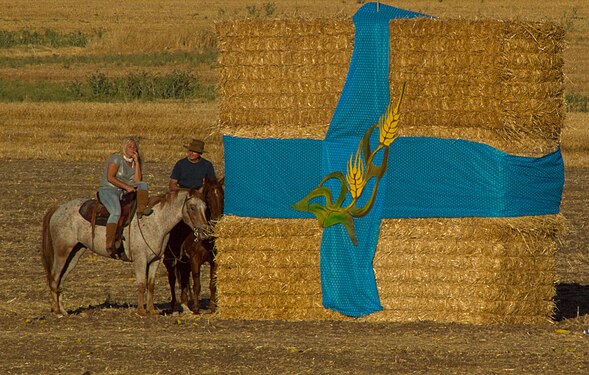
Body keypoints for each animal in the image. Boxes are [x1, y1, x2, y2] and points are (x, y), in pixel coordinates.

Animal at [164, 176, 224, 314]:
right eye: (207, 198)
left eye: (222, 196)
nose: (216, 221)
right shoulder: (194, 259)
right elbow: (197, 284)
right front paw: (196, 308)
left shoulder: (213, 260)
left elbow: (212, 284)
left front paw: (212, 307)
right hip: (170, 259)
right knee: (172, 279)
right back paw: (174, 306)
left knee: (184, 279)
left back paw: (185, 304)